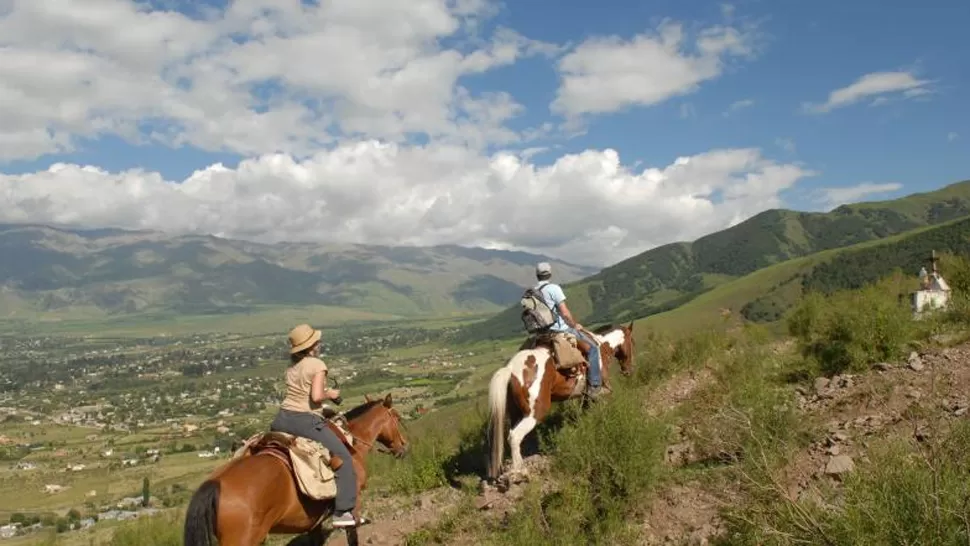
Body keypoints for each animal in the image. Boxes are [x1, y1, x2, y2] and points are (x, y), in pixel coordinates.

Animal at [183, 394, 406, 544]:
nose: (404, 447)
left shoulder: (313, 522)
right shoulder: (353, 506)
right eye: (396, 417)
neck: (350, 441)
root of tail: (215, 483)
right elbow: (352, 536)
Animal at [484, 320, 636, 478]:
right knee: (514, 436)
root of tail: (510, 369)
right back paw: (521, 470)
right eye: (632, 342)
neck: (602, 347)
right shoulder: (601, 390)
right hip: (535, 413)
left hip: (516, 413)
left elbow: (585, 412)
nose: (628, 370)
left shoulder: (586, 395)